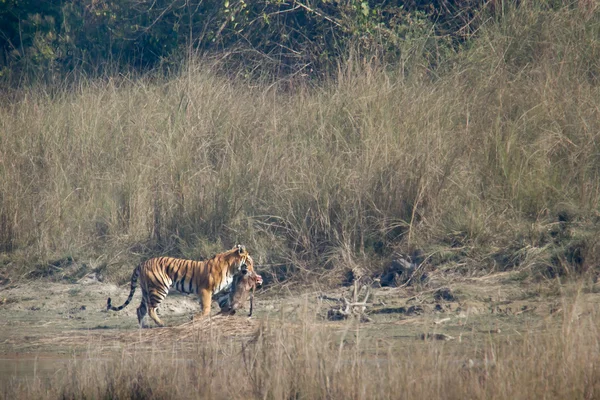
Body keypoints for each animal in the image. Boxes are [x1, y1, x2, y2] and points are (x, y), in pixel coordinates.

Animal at [106, 244, 255, 328]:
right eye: (250, 262)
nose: (254, 271)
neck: (232, 269)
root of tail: (142, 263)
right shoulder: (205, 290)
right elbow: (206, 308)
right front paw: (195, 318)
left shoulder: (222, 292)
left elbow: (227, 305)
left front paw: (226, 314)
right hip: (159, 289)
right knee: (150, 309)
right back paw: (162, 324)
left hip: (146, 290)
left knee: (140, 309)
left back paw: (144, 326)